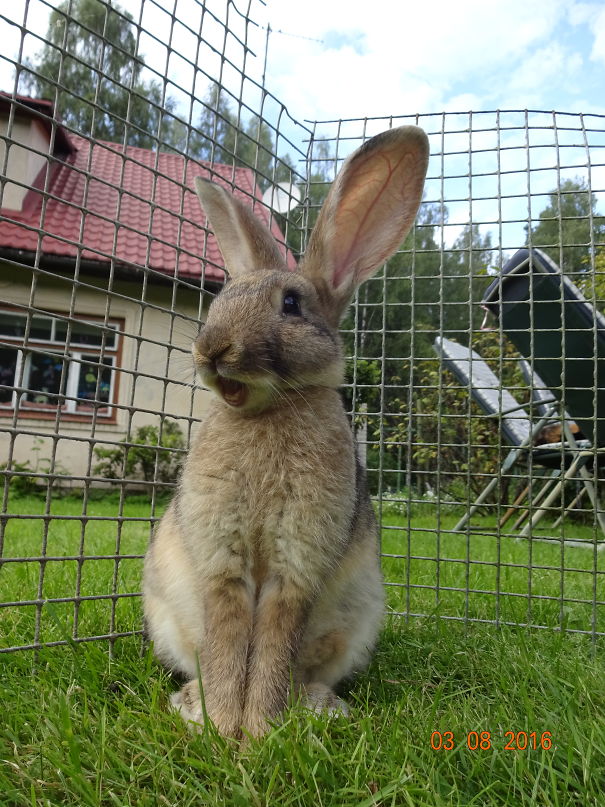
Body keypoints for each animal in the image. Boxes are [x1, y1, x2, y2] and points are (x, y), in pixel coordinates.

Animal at [143, 125, 429, 740]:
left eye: (292, 304)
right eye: (221, 298)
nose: (211, 350)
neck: (266, 411)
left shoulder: (296, 565)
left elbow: (274, 640)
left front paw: (256, 732)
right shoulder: (221, 562)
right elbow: (229, 639)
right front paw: (223, 726)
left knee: (306, 670)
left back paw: (317, 706)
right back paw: (191, 702)